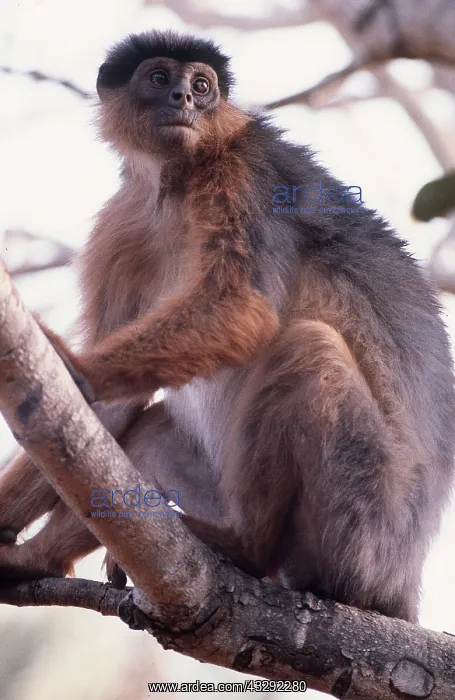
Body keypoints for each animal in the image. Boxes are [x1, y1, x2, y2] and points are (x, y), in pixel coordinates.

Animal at [0, 29, 454, 622]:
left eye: (201, 86)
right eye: (158, 79)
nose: (183, 101)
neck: (175, 186)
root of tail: (402, 583)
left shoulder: (243, 174)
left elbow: (245, 307)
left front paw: (76, 368)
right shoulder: (124, 221)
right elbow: (99, 413)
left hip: (366, 529)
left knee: (308, 346)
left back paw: (243, 545)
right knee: (148, 434)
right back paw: (41, 558)